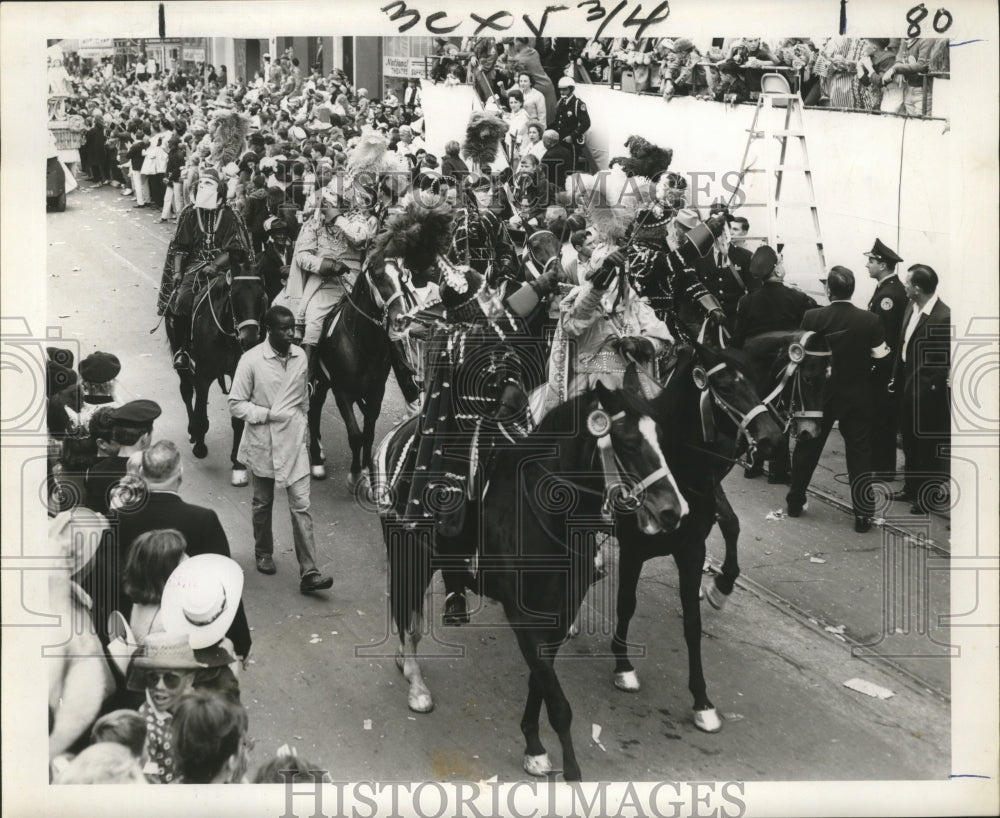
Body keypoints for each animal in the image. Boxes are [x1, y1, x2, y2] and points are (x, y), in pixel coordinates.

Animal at [165, 245, 266, 482]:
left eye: (261, 295)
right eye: (235, 294)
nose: (249, 340)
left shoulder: (238, 374)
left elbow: (238, 420)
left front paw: (237, 462)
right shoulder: (203, 375)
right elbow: (201, 412)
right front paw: (200, 446)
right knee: (186, 391)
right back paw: (193, 431)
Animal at [304, 255, 422, 488]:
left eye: (401, 276)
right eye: (378, 276)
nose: (402, 318)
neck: (362, 341)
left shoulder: (376, 391)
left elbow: (368, 432)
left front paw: (368, 470)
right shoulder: (342, 391)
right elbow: (355, 435)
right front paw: (355, 474)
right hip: (319, 380)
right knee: (313, 410)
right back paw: (317, 461)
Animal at [376, 366, 688, 780]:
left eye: (661, 439)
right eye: (627, 442)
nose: (673, 511)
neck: (546, 515)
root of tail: (402, 431)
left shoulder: (560, 612)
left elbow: (541, 681)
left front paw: (534, 746)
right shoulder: (521, 614)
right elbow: (557, 700)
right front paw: (568, 768)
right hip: (408, 551)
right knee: (407, 612)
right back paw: (415, 682)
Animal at [604, 334, 784, 728]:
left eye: (756, 384)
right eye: (724, 386)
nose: (772, 438)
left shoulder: (692, 550)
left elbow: (692, 623)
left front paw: (702, 701)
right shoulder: (633, 549)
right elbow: (626, 603)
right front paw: (623, 666)